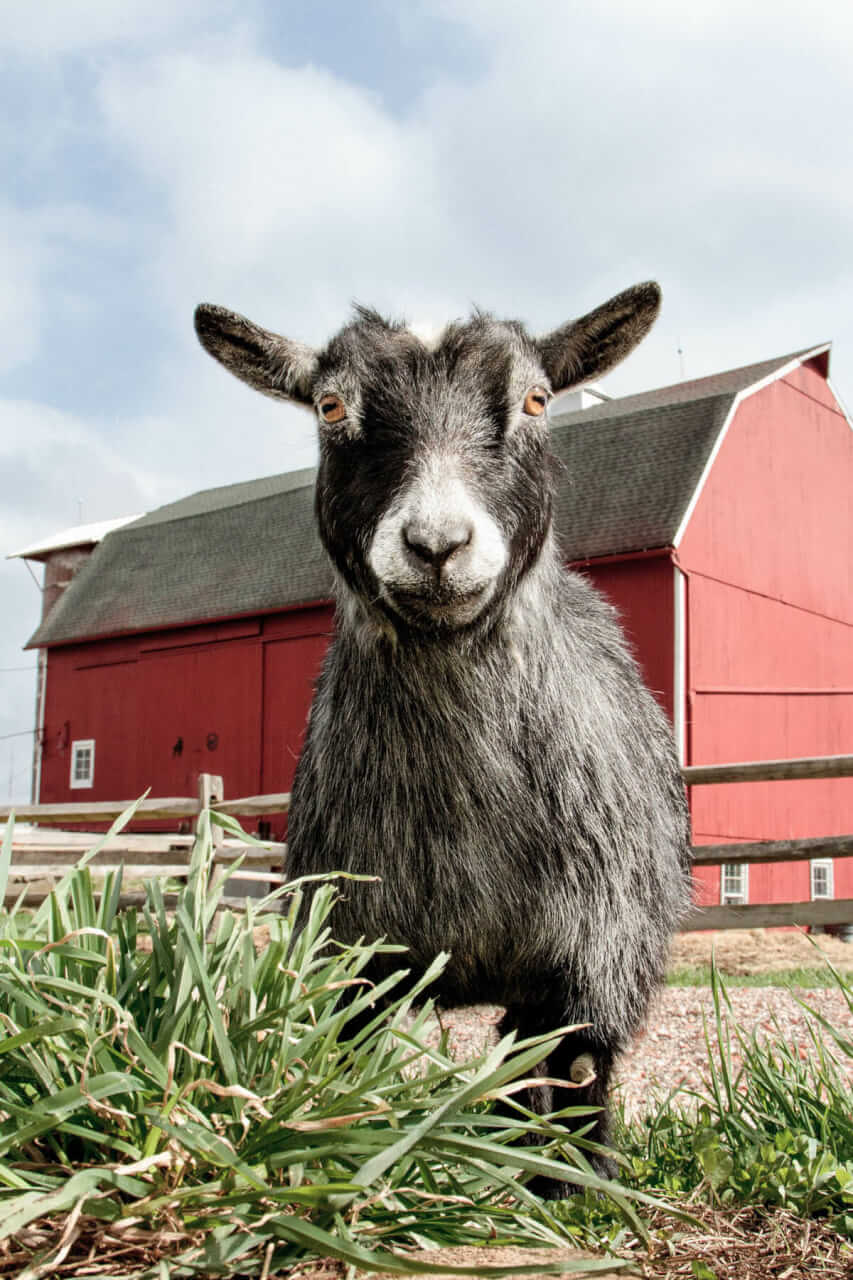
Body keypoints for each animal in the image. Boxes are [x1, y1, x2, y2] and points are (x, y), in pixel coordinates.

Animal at [194, 285, 691, 1192]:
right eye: (329, 406)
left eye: (536, 399)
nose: (436, 545)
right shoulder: (349, 948)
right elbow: (344, 1073)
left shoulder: (596, 951)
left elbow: (581, 1074)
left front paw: (582, 1195)